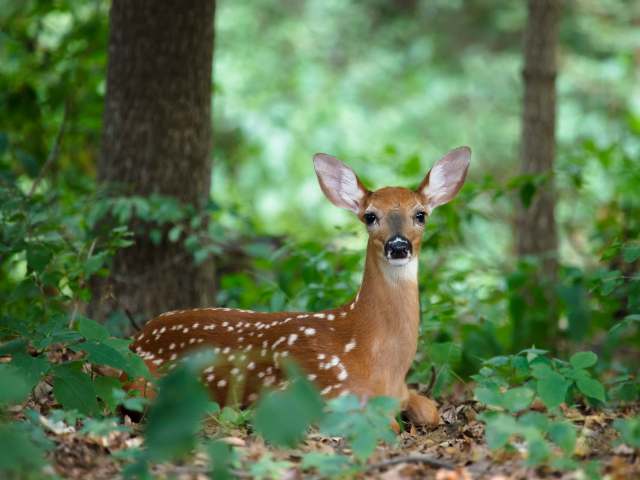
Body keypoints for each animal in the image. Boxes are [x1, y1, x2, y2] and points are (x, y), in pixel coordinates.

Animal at [129, 146, 471, 427]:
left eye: (421, 215)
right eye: (370, 216)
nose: (398, 246)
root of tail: (137, 337)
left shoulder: (402, 391)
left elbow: (430, 410)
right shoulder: (315, 394)